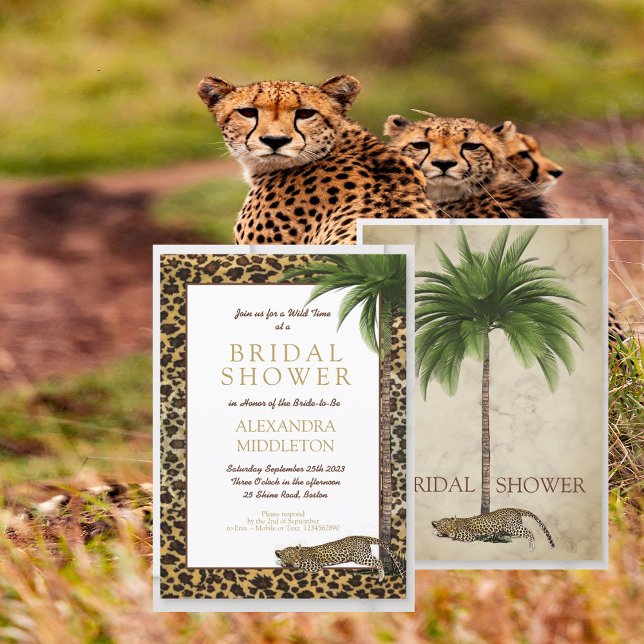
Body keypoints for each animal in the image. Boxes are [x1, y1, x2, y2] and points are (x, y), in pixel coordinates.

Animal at [275, 536, 405, 582]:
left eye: (295, 555)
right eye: (289, 555)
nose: (296, 559)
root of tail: (363, 537)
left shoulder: (315, 565)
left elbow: (299, 565)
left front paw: (282, 562)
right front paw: (281, 560)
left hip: (358, 556)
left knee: (378, 561)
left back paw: (381, 577)